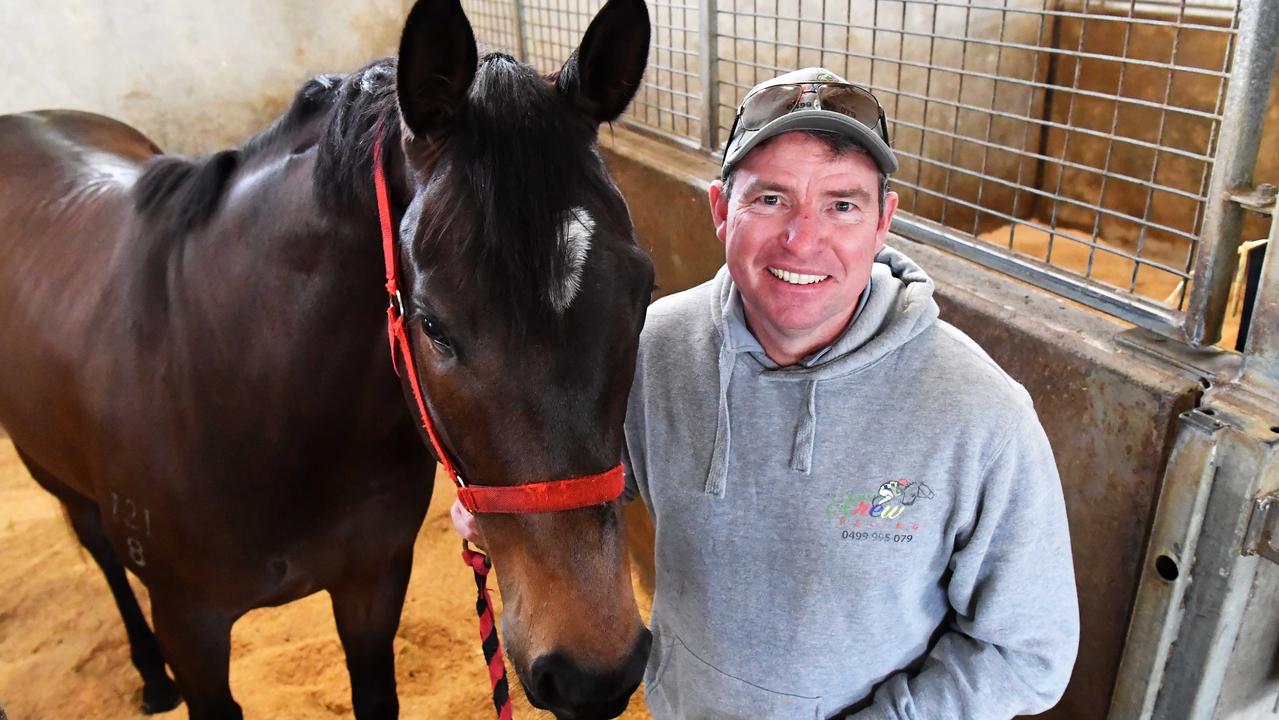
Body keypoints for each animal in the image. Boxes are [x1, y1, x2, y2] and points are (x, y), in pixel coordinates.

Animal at [0, 1, 654, 720]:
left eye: (642, 291)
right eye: (433, 326)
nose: (595, 671)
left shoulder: (371, 584)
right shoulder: (190, 626)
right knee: (102, 556)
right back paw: (149, 675)